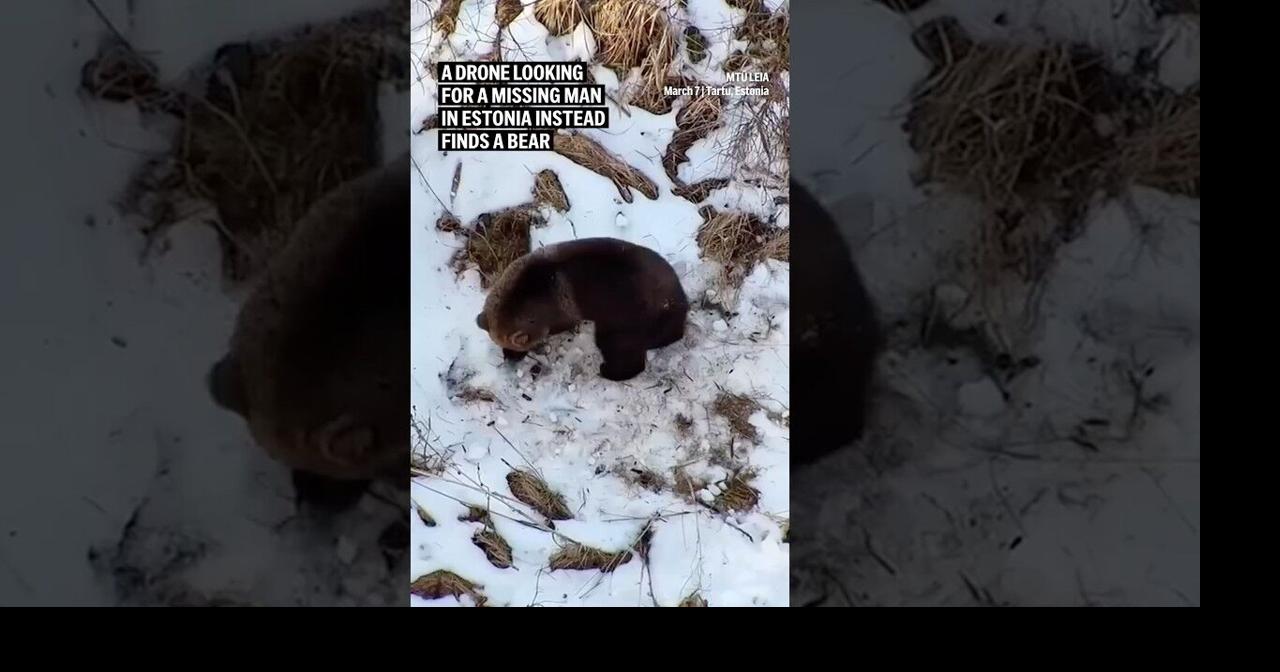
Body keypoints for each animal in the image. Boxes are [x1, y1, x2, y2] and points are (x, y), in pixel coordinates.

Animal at [475, 237, 689, 381]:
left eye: (515, 347)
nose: (509, 358)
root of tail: (679, 301)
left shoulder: (561, 310)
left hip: (628, 317)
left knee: (620, 348)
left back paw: (608, 370)